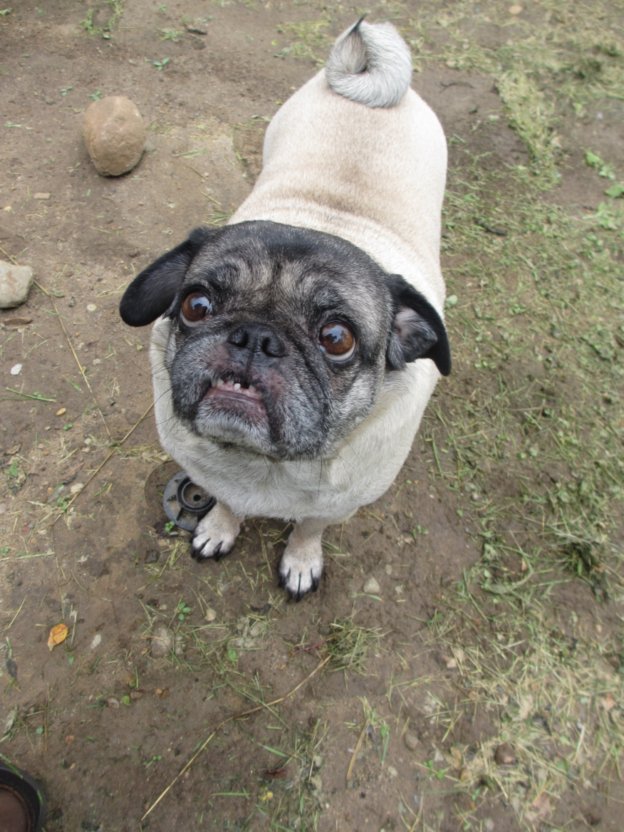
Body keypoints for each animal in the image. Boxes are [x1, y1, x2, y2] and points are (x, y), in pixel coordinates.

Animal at [118, 21, 448, 600]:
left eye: (337, 338)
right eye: (196, 305)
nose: (256, 336)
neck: (265, 468)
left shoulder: (338, 505)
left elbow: (309, 527)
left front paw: (300, 560)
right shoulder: (217, 479)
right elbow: (227, 504)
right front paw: (219, 529)